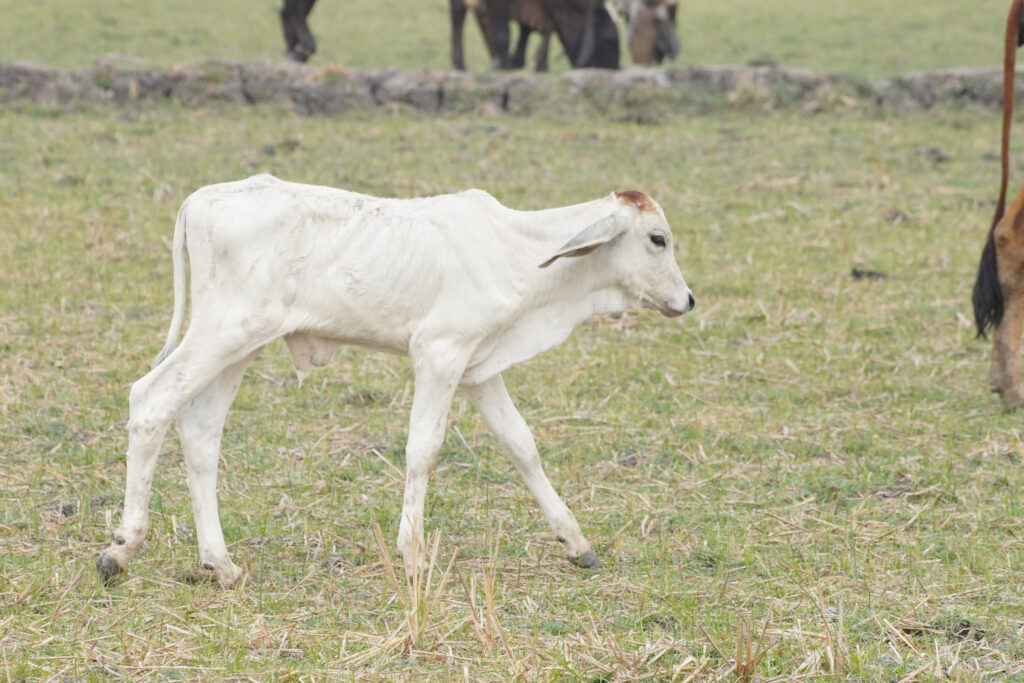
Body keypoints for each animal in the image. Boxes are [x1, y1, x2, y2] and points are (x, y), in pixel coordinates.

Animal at [96, 176, 695, 587]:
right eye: (658, 239)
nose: (687, 300)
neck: (518, 254)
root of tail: (201, 198)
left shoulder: (477, 369)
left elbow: (521, 445)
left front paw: (576, 543)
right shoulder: (439, 354)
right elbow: (423, 450)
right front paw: (413, 556)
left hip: (240, 345)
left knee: (200, 432)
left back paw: (221, 564)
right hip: (223, 332)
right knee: (150, 400)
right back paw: (121, 548)